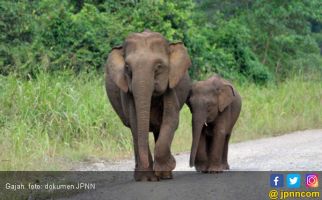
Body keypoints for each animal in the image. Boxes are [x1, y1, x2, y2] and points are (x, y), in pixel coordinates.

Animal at [105, 30, 191, 181]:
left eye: (159, 66)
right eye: (127, 67)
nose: (174, 159)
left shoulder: (171, 85)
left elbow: (171, 120)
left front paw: (166, 168)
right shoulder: (127, 92)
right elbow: (136, 123)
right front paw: (147, 178)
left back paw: (164, 175)